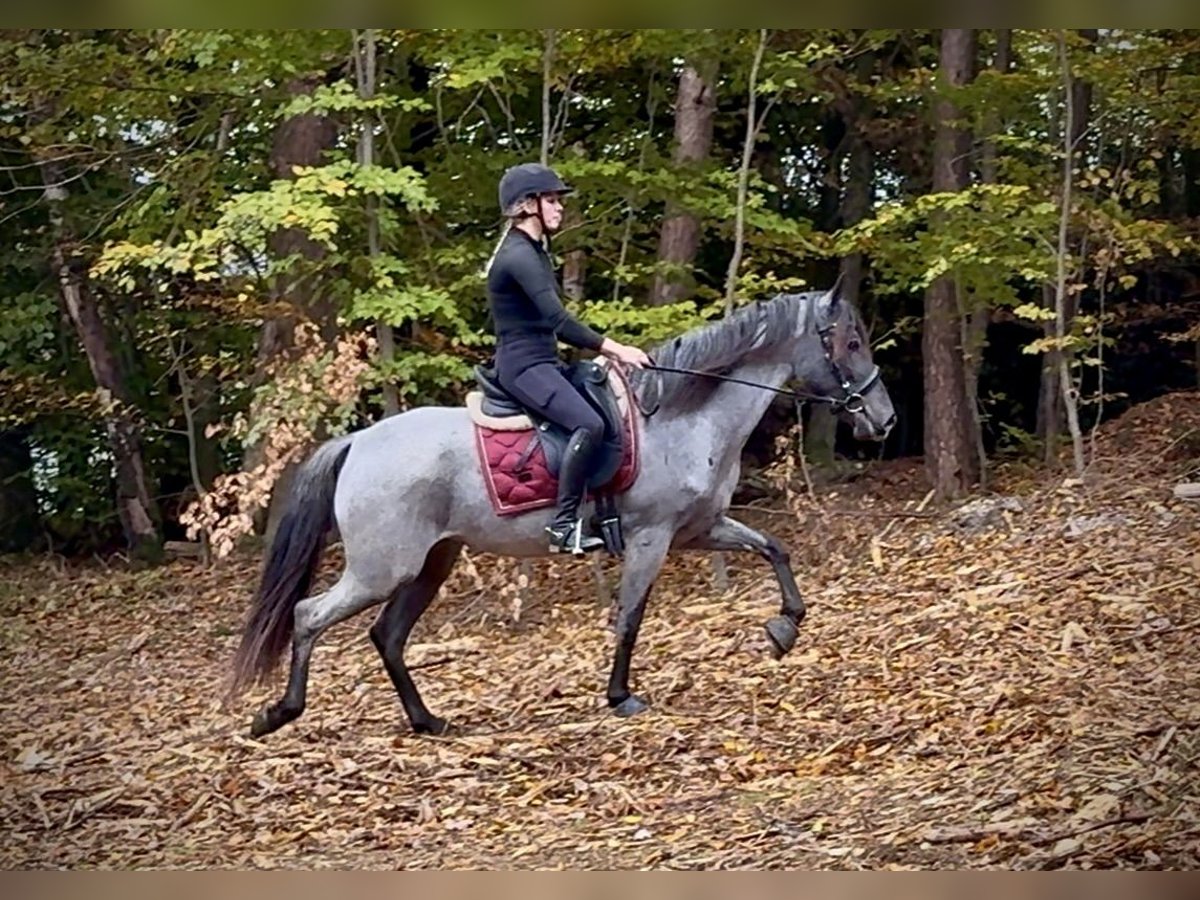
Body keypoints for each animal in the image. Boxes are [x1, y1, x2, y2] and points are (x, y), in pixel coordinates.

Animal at [231, 287, 896, 737]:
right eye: (851, 343)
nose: (884, 420)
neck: (680, 416)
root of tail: (358, 442)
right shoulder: (652, 538)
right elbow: (629, 616)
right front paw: (621, 696)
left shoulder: (699, 530)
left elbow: (773, 549)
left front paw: (785, 628)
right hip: (381, 568)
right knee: (309, 615)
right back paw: (279, 712)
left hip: (430, 563)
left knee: (387, 635)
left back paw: (427, 721)